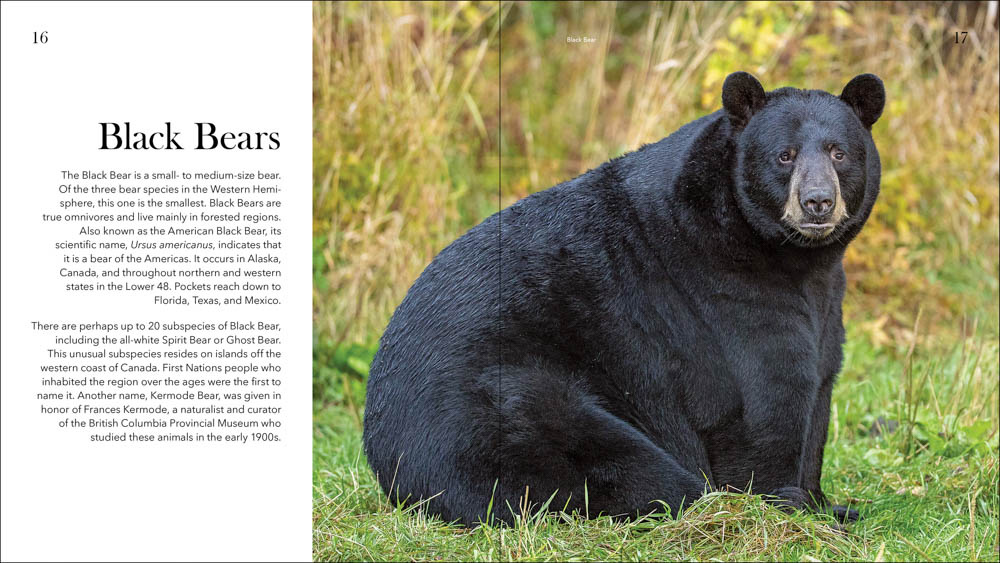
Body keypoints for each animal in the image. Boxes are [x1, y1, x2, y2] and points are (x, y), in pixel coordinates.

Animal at [362, 72, 885, 527]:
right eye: (784, 155)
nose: (817, 202)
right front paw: (786, 503)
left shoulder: (822, 302)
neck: (789, 259)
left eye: (839, 153)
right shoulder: (724, 297)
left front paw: (826, 503)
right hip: (503, 412)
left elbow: (818, 388)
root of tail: (390, 463)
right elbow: (766, 399)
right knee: (624, 465)